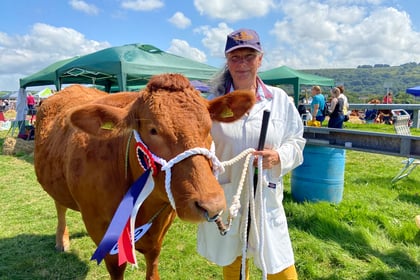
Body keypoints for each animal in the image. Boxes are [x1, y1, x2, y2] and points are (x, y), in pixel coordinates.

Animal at [33, 73, 256, 278]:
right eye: (153, 130)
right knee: (60, 206)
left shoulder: (160, 231)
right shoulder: (100, 229)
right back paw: (62, 240)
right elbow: (117, 268)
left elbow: (153, 265)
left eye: (209, 127)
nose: (212, 204)